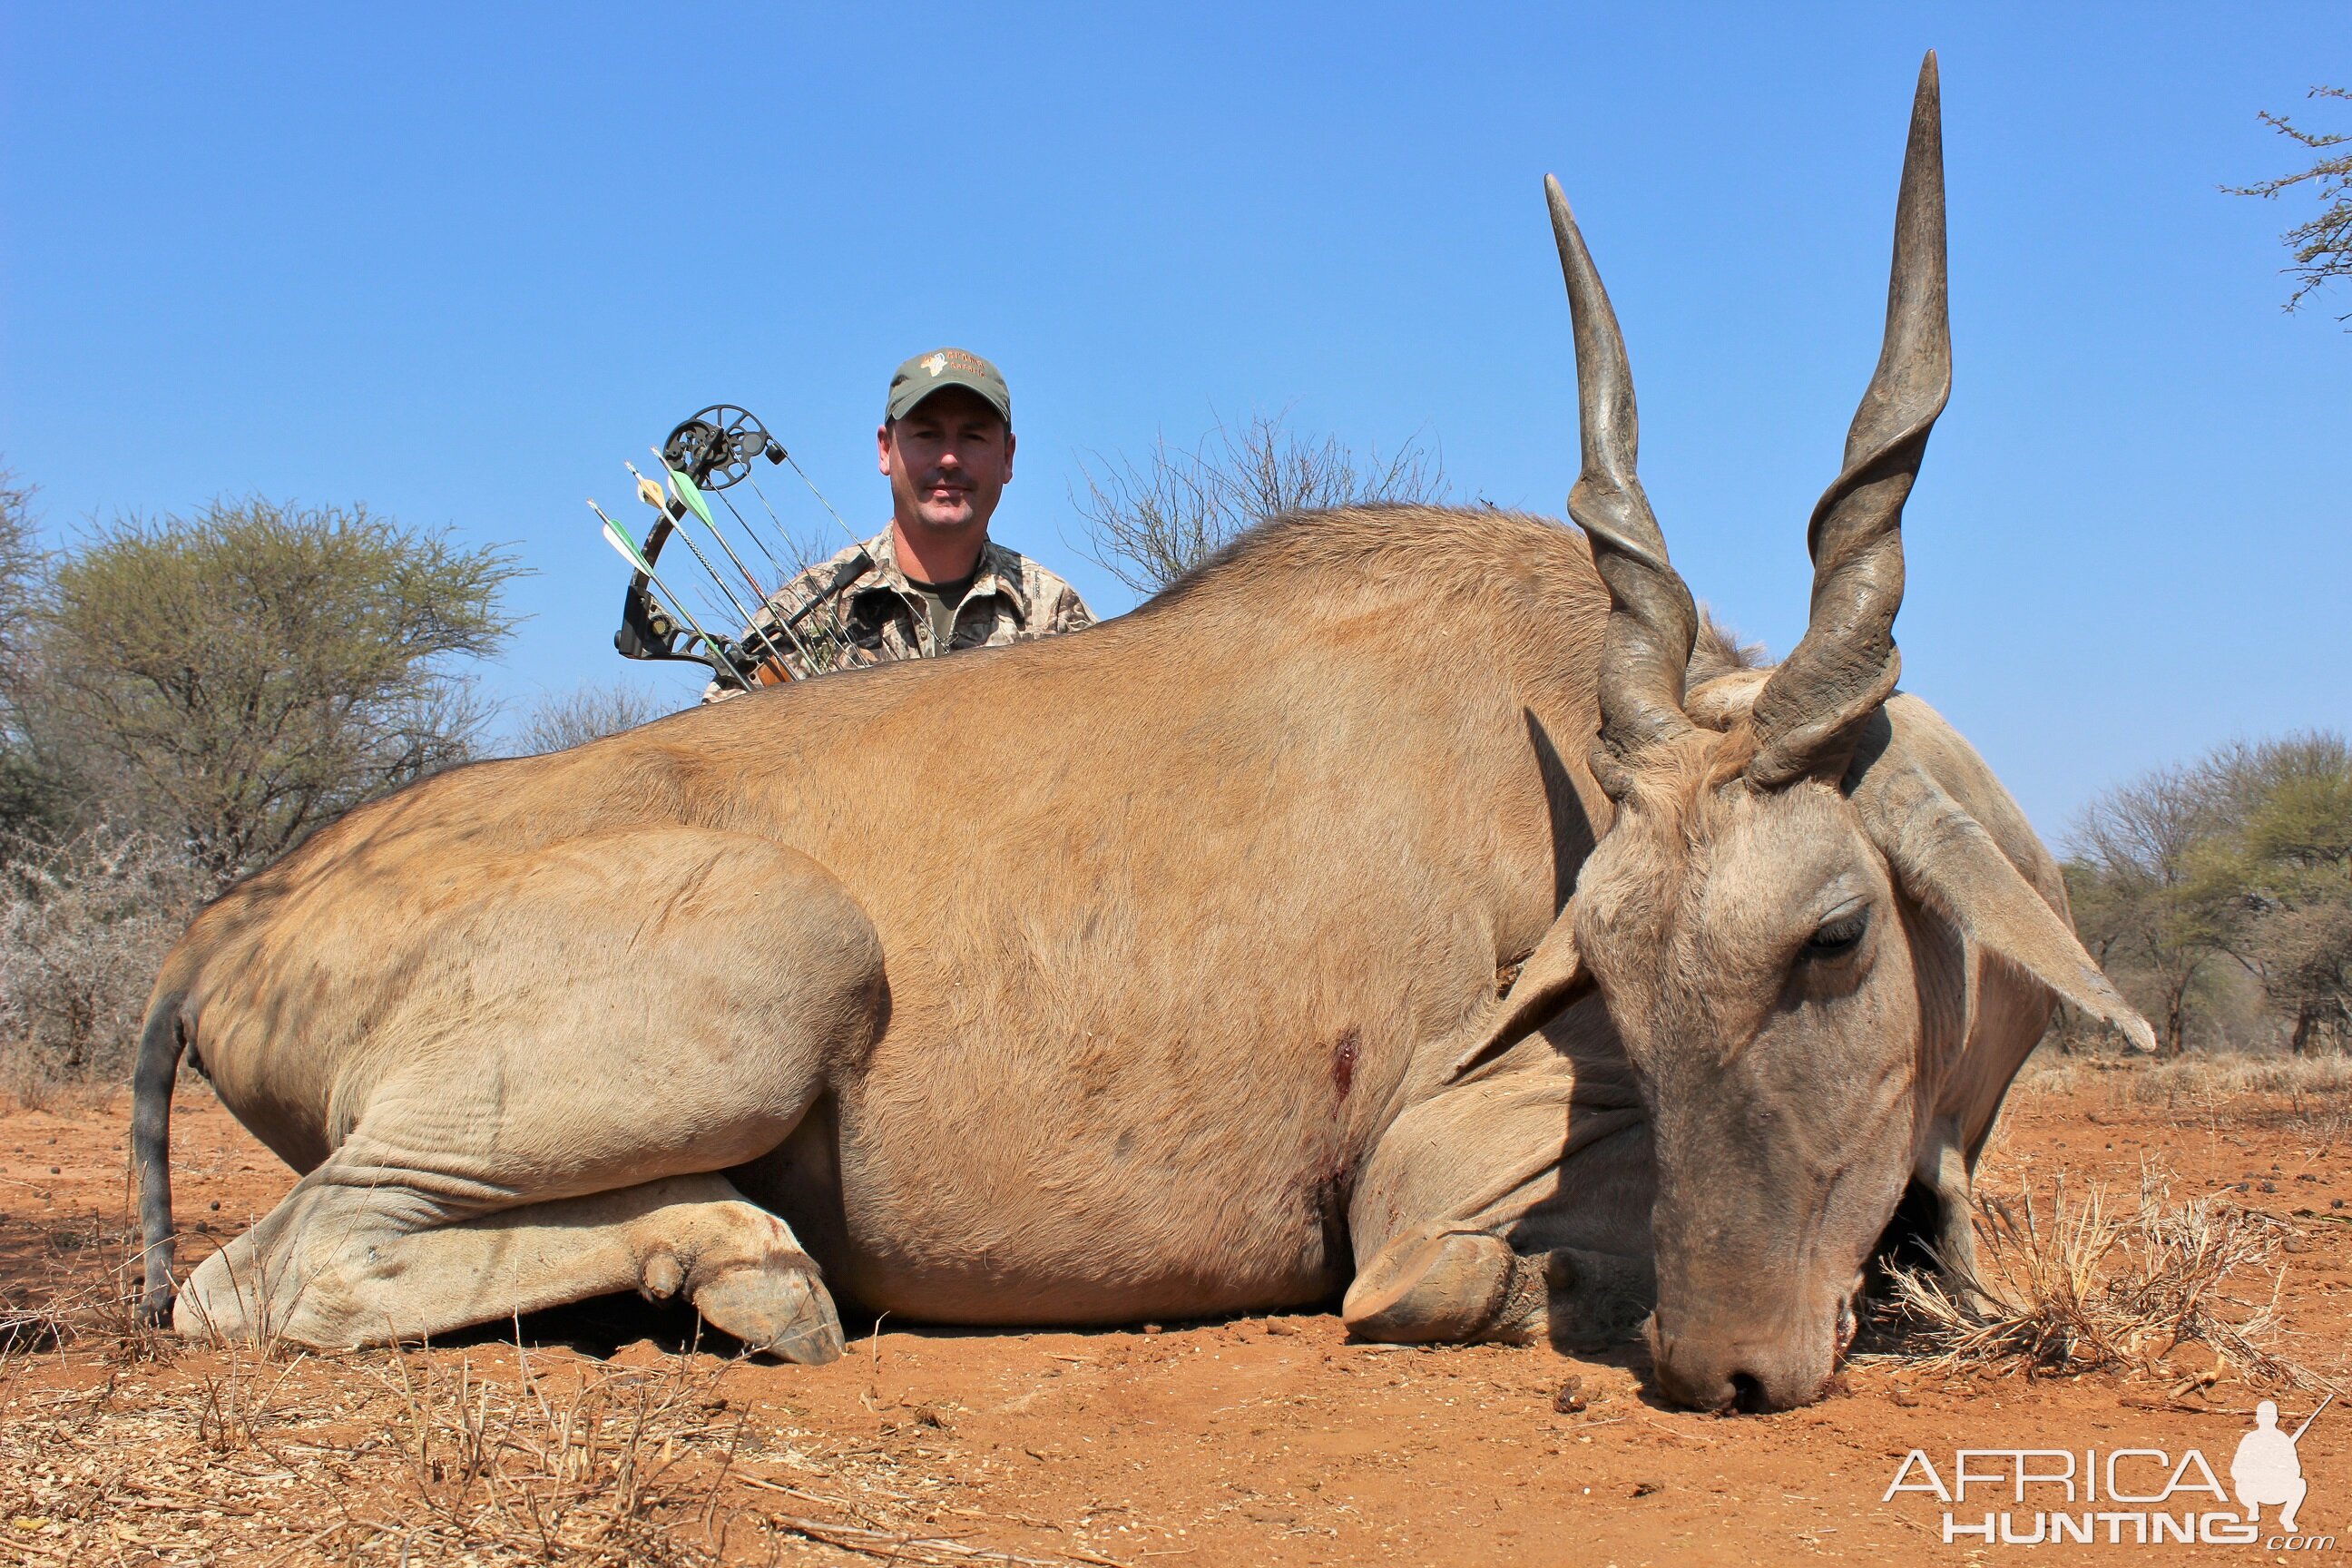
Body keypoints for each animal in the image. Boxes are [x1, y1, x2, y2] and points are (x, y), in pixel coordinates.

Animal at [133, 58, 2154, 1410]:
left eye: (1832, 938)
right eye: (1621, 977)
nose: (1730, 1368)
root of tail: (235, 918)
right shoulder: (1432, 1173)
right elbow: (1435, 1260)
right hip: (780, 971)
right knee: (261, 1273)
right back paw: (746, 1266)